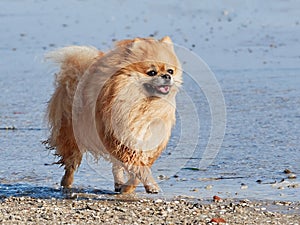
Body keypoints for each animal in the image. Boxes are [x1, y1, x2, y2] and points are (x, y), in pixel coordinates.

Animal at [43, 36, 182, 193]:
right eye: (151, 72)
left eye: (171, 71)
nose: (167, 76)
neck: (144, 104)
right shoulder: (120, 138)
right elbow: (138, 166)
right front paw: (150, 184)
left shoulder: (149, 141)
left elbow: (139, 167)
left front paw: (129, 188)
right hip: (72, 135)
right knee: (71, 162)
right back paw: (66, 183)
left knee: (116, 166)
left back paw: (119, 183)